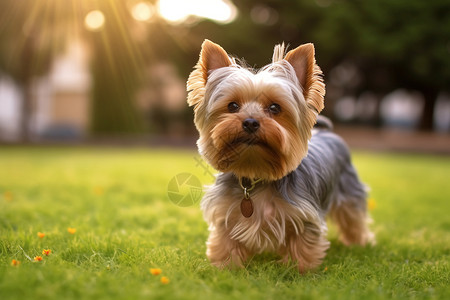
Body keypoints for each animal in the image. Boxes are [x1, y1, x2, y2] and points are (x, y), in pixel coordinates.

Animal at [185, 39, 372, 272]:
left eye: (275, 107)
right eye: (232, 106)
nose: (250, 122)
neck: (256, 174)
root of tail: (327, 132)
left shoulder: (305, 216)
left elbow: (302, 243)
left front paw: (297, 269)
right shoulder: (225, 212)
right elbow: (226, 241)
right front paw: (226, 268)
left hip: (348, 190)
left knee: (353, 217)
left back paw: (358, 243)